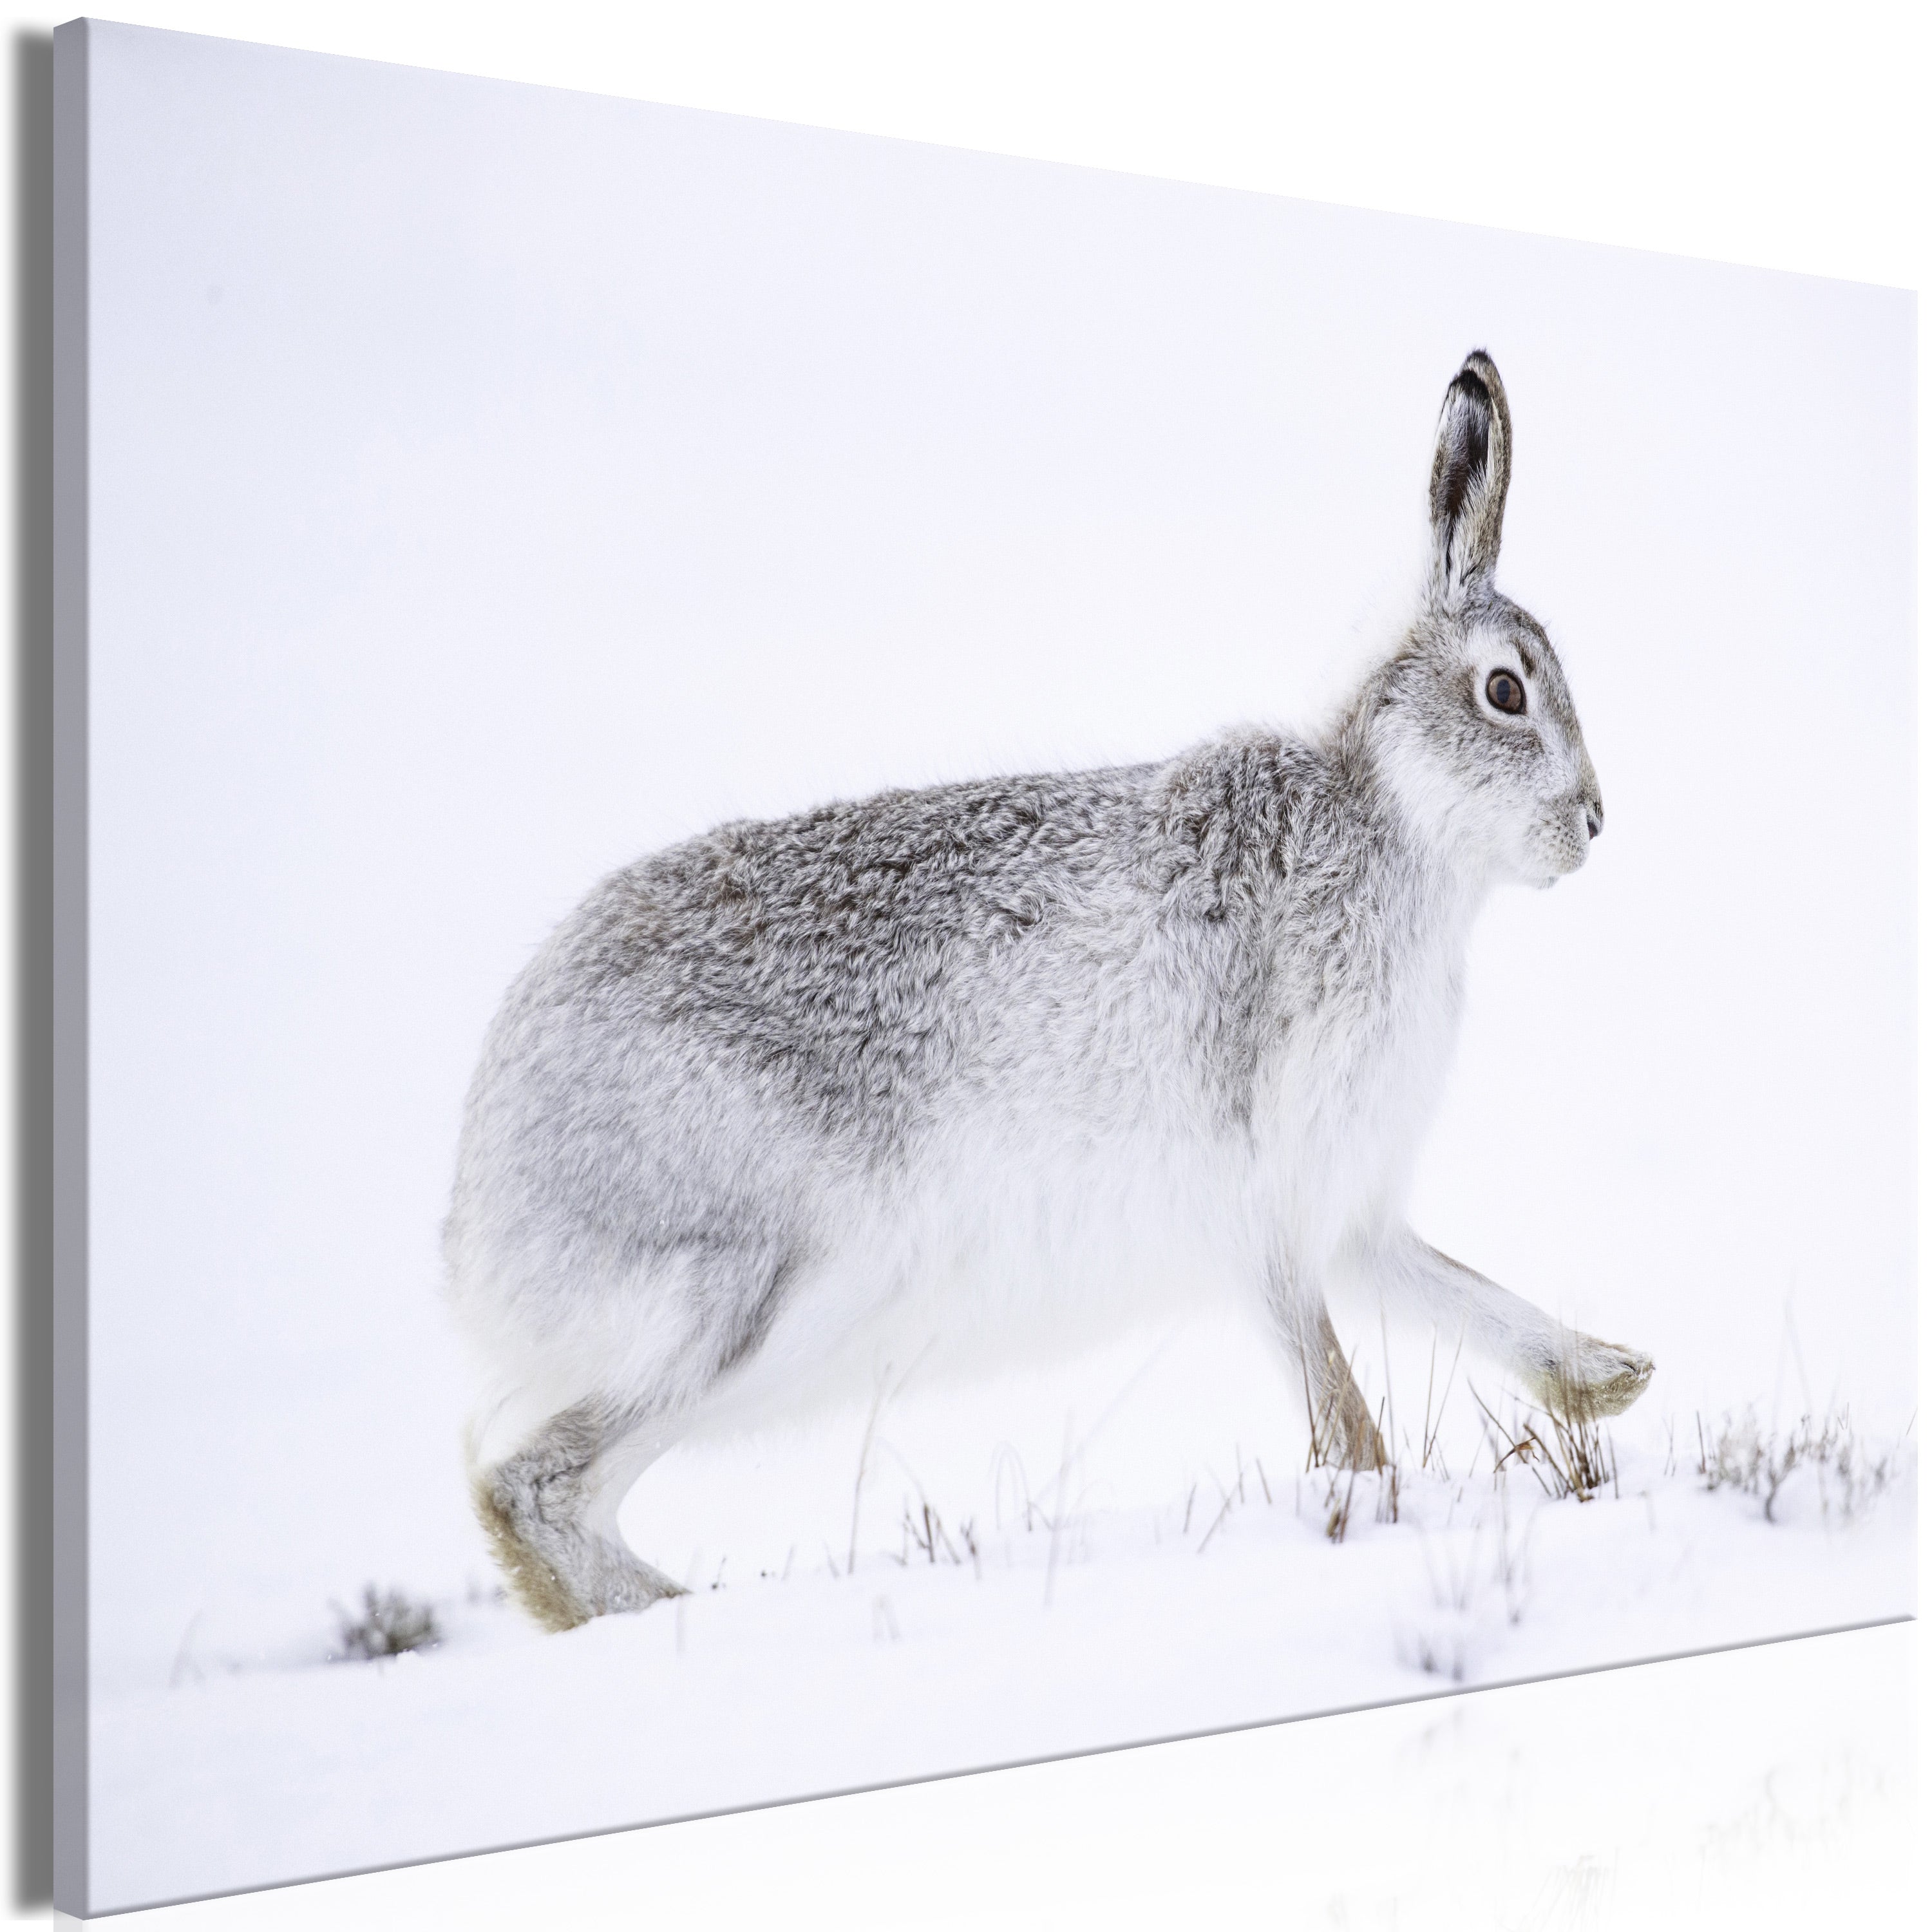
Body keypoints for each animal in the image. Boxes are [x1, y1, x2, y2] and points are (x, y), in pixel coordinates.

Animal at [444, 349, 1654, 1632]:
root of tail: (475, 1212)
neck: (1396, 827)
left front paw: (1612, 1379)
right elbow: (1338, 1403)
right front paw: (1379, 1506)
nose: (1593, 821)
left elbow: (1459, 1293)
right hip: (754, 1296)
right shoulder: (1267, 1199)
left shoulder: (1352, 1209)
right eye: (1506, 693)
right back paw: (695, 1611)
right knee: (528, 1484)